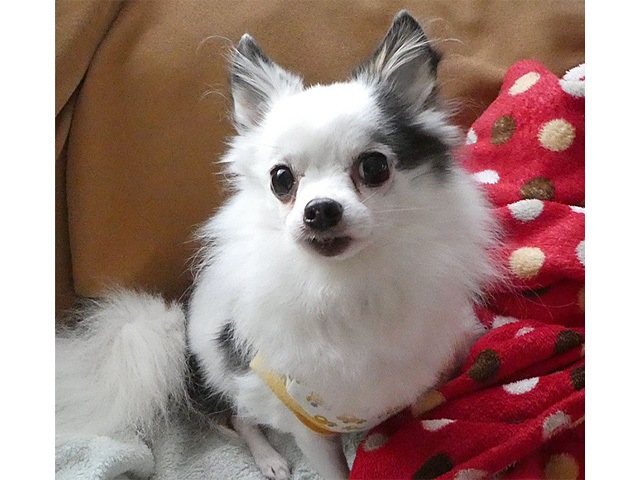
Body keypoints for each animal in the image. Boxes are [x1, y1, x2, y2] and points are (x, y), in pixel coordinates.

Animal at [55, 10, 497, 480]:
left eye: (374, 167)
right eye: (281, 179)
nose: (320, 210)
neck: (344, 282)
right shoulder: (307, 421)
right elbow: (331, 468)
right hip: (224, 377)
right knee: (241, 420)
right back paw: (268, 458)